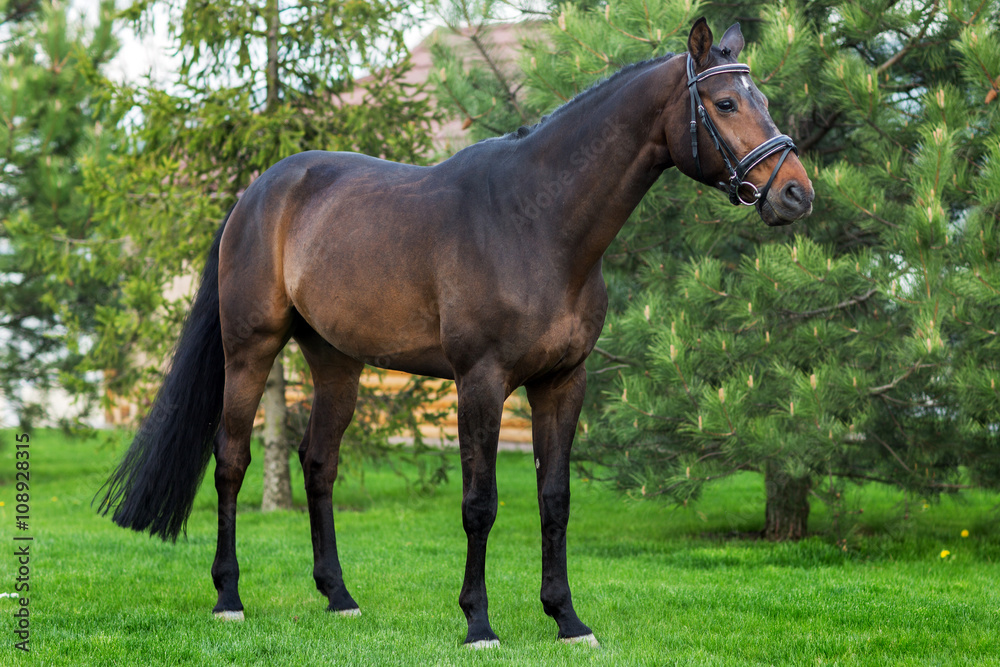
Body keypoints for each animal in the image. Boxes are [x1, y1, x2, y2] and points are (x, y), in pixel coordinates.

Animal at [97, 18, 812, 648]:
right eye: (725, 102)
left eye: (764, 100)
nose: (797, 194)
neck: (536, 223)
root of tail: (256, 194)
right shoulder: (481, 382)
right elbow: (480, 504)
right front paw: (479, 624)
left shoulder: (563, 383)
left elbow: (555, 499)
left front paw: (567, 619)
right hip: (250, 350)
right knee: (231, 461)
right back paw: (229, 598)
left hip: (336, 362)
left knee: (319, 463)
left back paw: (340, 596)